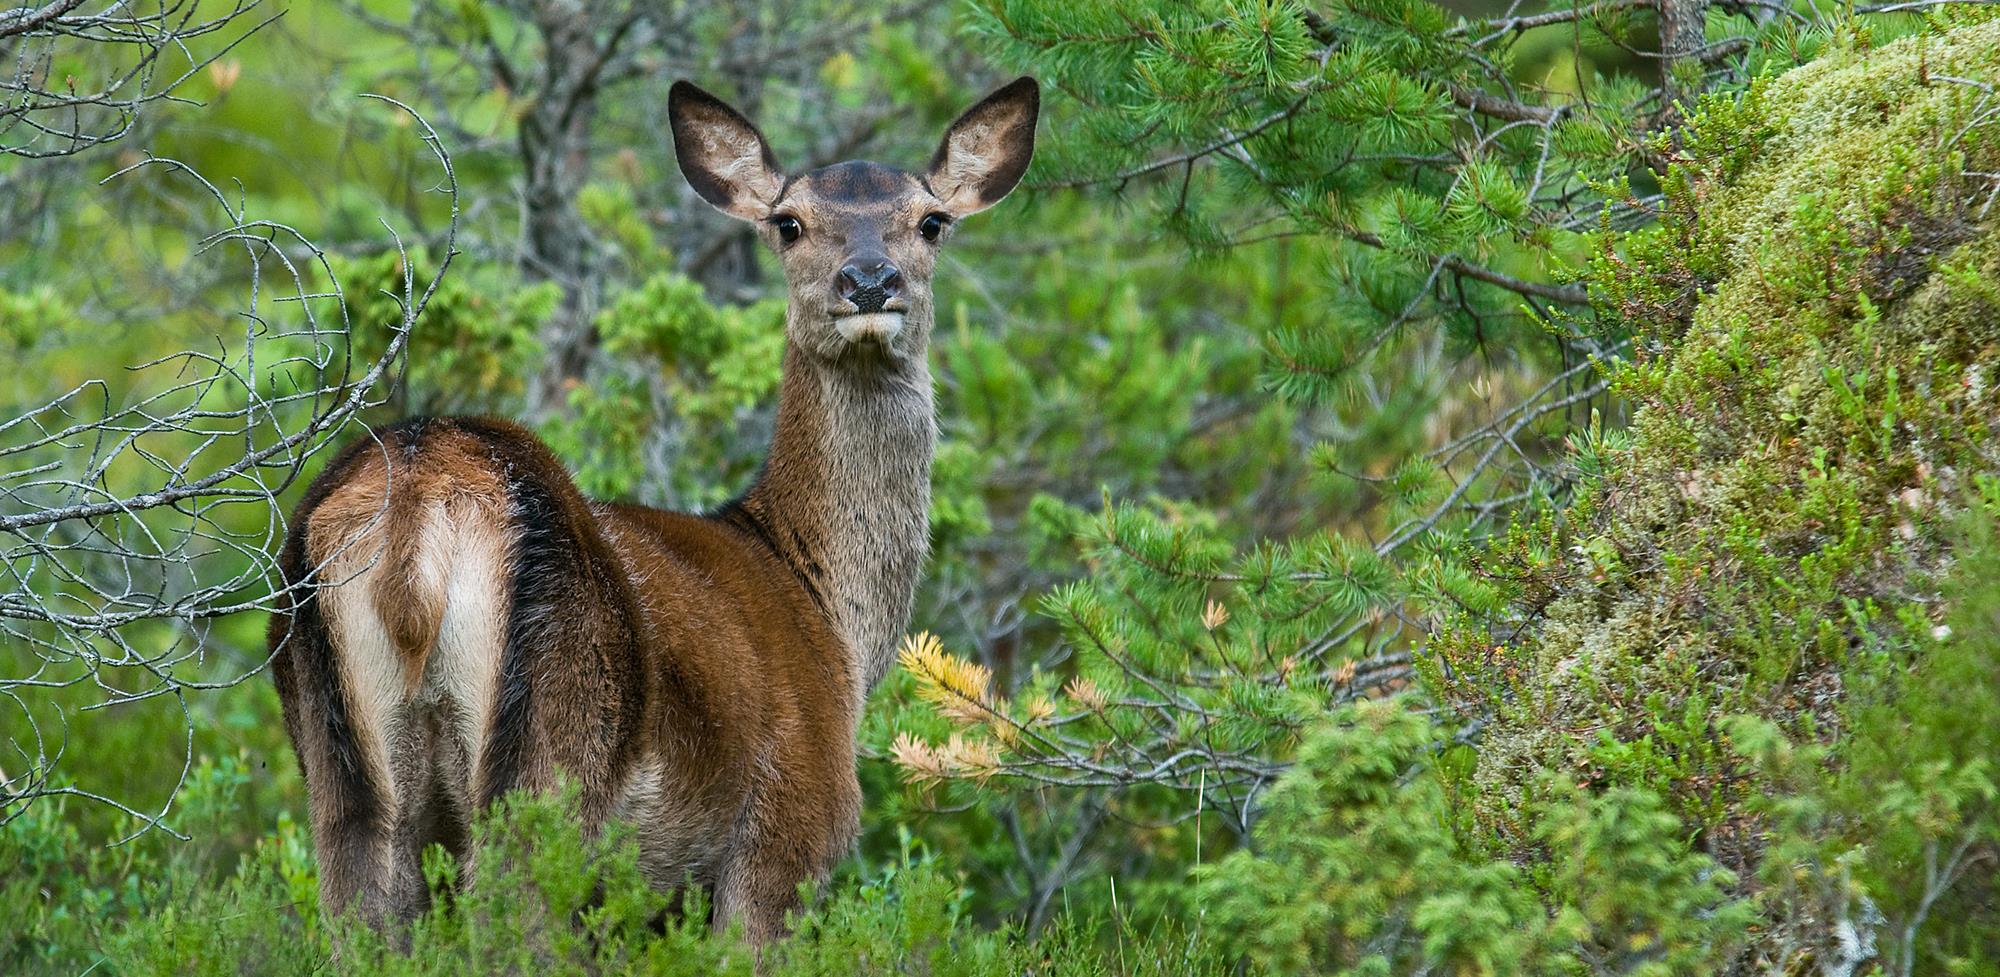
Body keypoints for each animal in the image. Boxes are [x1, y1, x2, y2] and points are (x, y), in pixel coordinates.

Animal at [268, 78, 1040, 944]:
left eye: (931, 220)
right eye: (789, 222)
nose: (870, 280)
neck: (829, 613)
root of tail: (420, 498)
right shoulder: (789, 826)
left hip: (339, 766)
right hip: (550, 755)